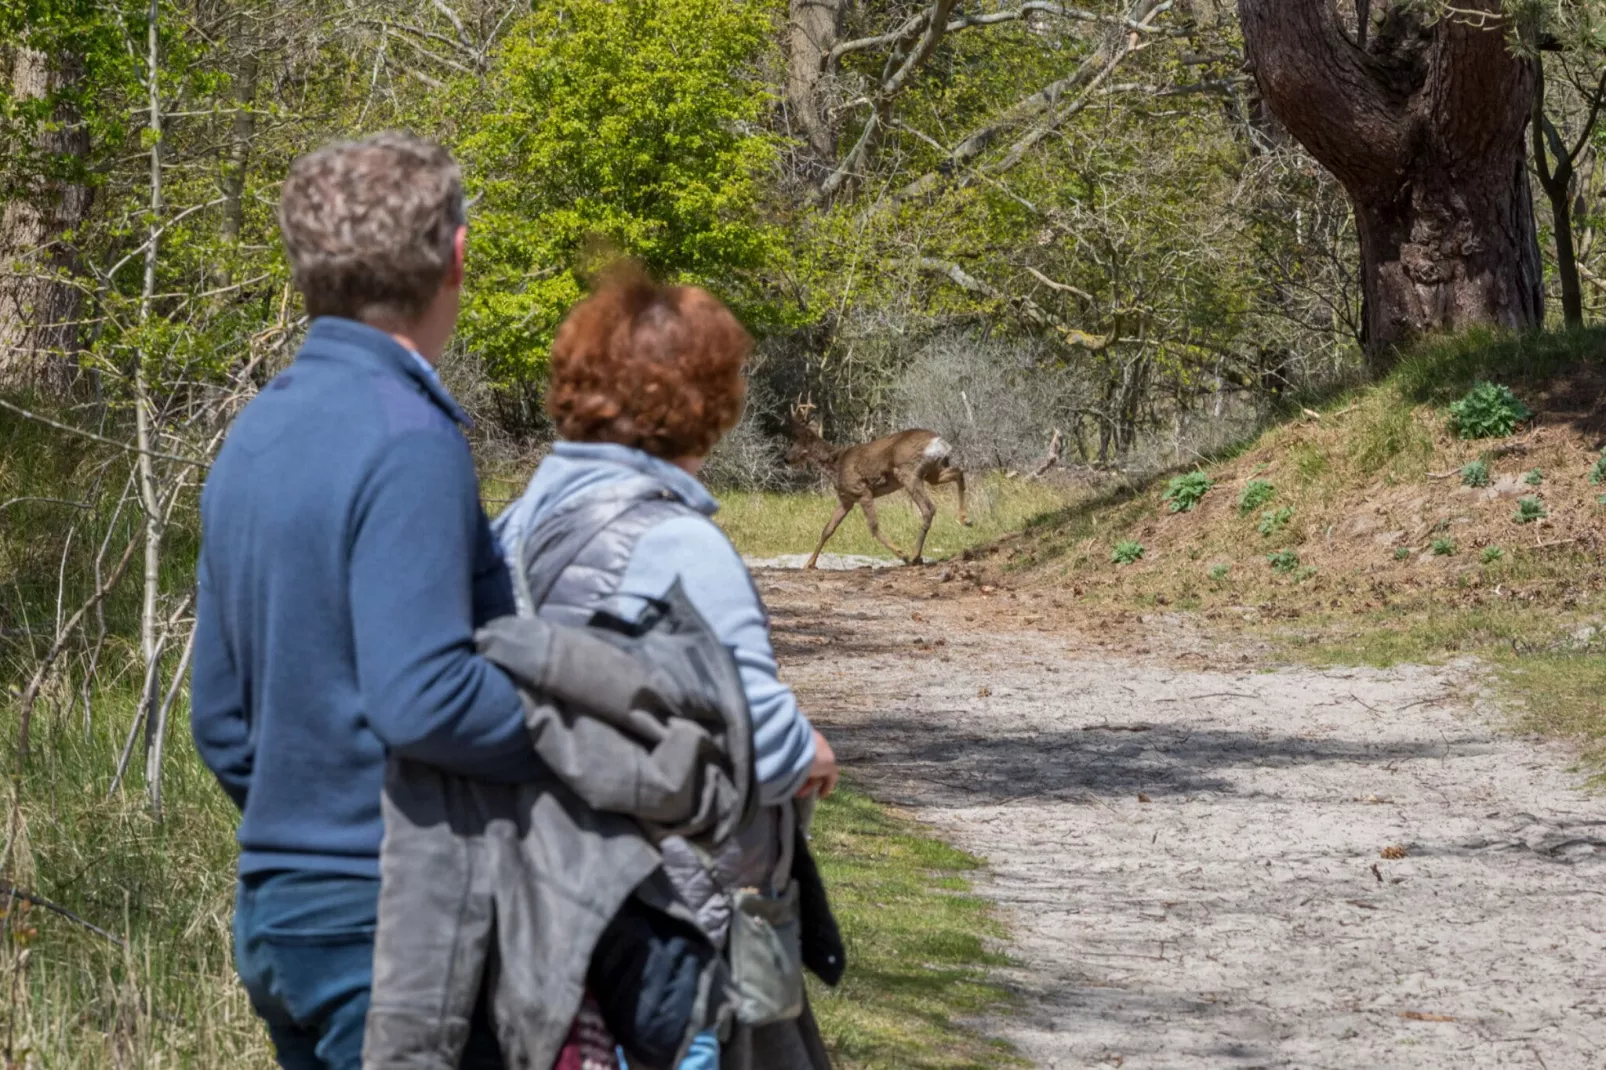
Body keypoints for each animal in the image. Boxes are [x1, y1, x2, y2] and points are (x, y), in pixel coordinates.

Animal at [786, 401, 970, 565]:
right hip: (932, 472)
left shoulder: (862, 491)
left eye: (797, 441)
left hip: (908, 473)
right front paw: (809, 564)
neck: (836, 465)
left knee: (928, 508)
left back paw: (915, 556)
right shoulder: (846, 499)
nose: (787, 458)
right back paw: (965, 519)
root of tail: (939, 442)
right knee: (959, 472)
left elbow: (873, 527)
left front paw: (902, 554)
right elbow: (828, 529)